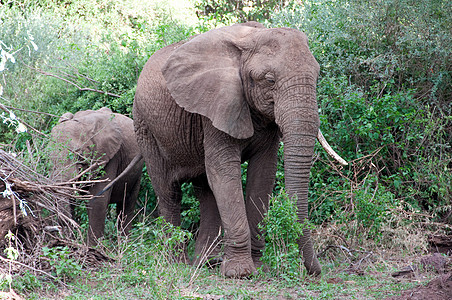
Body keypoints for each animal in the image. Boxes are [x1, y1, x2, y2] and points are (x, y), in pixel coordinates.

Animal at [49, 106, 142, 245]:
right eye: (48, 158)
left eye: (80, 156)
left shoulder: (109, 156)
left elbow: (98, 201)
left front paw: (92, 248)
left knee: (127, 203)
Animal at [133, 22, 346, 278]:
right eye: (269, 80)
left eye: (316, 76)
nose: (314, 270)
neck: (250, 40)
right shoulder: (215, 106)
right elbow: (225, 171)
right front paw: (240, 273)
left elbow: (263, 172)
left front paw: (259, 266)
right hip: (145, 127)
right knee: (168, 191)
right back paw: (176, 261)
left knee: (206, 189)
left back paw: (207, 262)